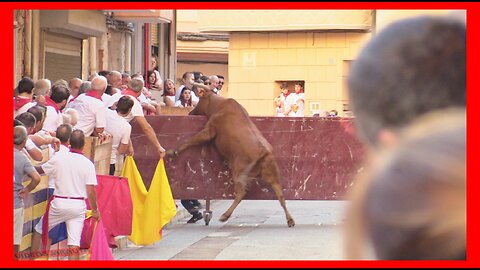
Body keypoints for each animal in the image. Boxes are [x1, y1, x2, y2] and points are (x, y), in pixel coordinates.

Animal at [167, 89, 294, 228]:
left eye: (199, 99)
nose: (190, 112)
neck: (219, 104)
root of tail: (263, 152)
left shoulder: (209, 130)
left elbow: (191, 140)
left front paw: (173, 152)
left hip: (238, 171)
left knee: (241, 193)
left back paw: (225, 216)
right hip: (272, 176)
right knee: (281, 197)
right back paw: (290, 220)